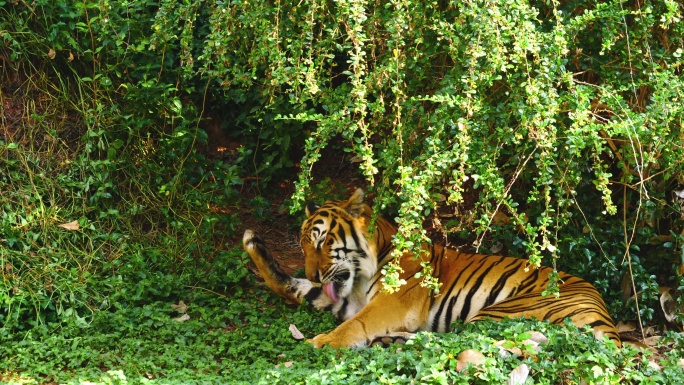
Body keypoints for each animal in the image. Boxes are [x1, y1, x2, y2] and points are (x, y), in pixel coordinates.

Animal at [242, 188, 620, 346]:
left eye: (322, 242)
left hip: (499, 314)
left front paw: (321, 343)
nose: (313, 273)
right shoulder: (342, 298)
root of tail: (609, 321)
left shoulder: (389, 303)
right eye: (303, 244)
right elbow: (294, 288)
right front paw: (251, 242)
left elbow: (355, 325)